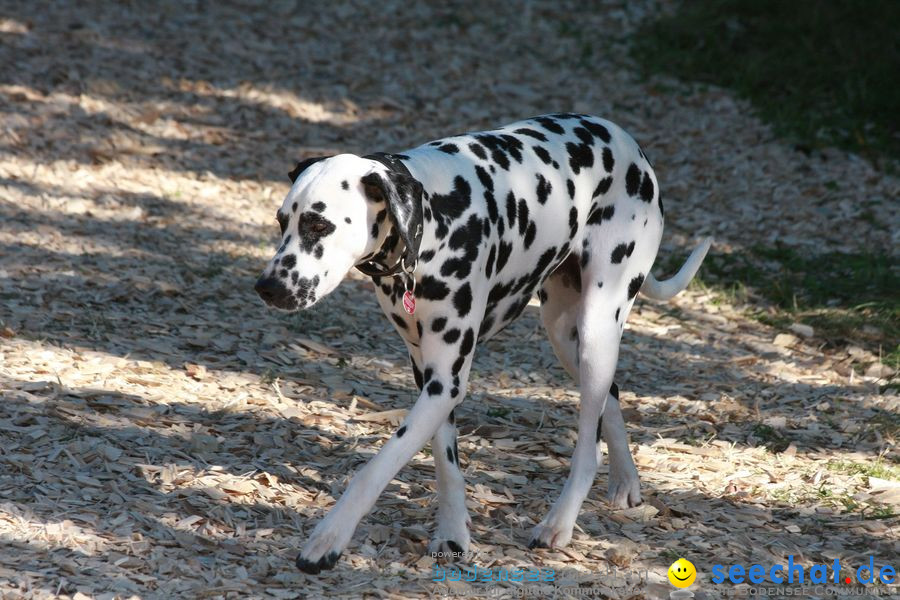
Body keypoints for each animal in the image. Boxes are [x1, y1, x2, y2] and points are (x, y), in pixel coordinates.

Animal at [253, 112, 712, 572]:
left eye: (319, 224)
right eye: (281, 221)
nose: (266, 288)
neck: (433, 219)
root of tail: (627, 141)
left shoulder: (447, 382)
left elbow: (377, 467)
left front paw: (328, 537)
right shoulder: (431, 377)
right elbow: (445, 462)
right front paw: (454, 532)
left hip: (598, 325)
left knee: (587, 443)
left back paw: (559, 523)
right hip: (569, 338)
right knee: (610, 396)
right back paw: (626, 479)